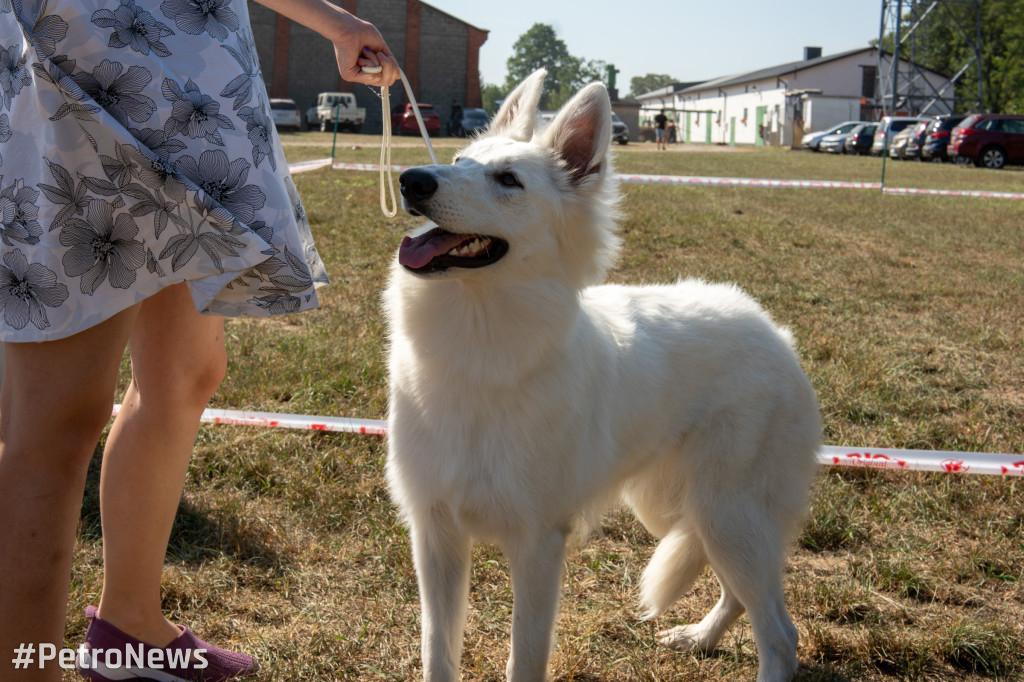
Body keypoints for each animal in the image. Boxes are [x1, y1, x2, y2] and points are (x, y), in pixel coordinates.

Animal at [385, 70, 823, 679]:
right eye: (457, 159)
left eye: (507, 180)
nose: (411, 180)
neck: (479, 352)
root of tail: (775, 332)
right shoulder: (435, 535)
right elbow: (438, 655)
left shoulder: (538, 544)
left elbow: (525, 657)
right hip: (680, 514)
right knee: (743, 598)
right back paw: (701, 637)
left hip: (725, 516)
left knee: (782, 634)